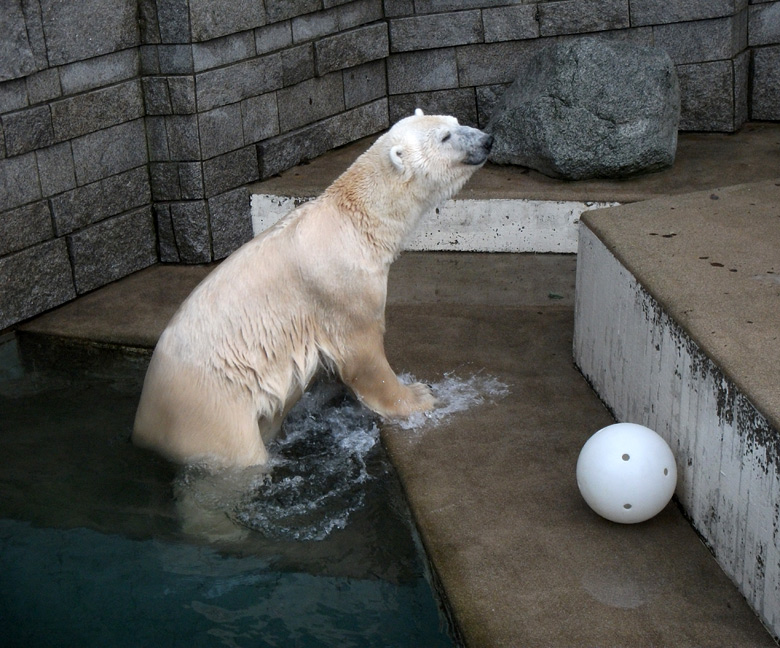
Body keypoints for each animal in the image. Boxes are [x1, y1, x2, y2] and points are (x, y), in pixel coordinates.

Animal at [131, 110, 490, 466]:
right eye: (445, 137)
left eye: (455, 121)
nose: (487, 139)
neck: (355, 221)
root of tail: (144, 426)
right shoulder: (342, 285)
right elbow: (363, 355)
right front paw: (419, 395)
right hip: (209, 409)